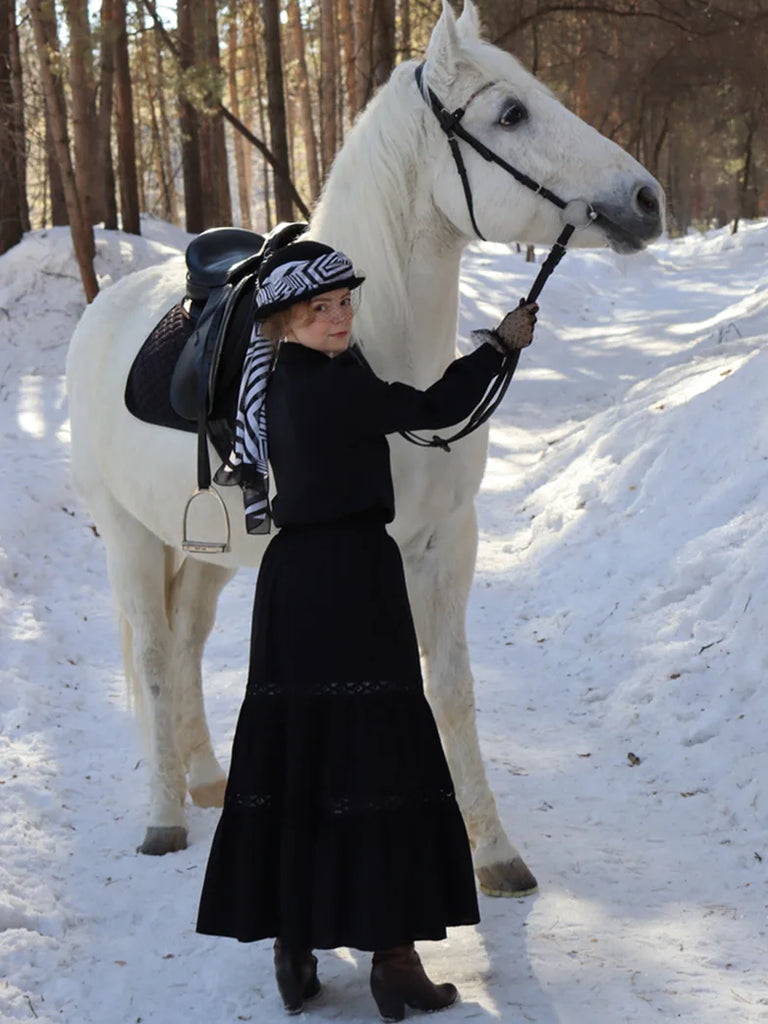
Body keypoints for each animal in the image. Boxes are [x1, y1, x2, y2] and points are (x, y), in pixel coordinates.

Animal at [67, 2, 667, 897]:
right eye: (511, 113)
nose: (647, 198)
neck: (375, 356)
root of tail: (103, 314)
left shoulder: (446, 542)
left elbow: (449, 689)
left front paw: (493, 852)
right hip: (130, 538)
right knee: (151, 656)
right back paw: (164, 817)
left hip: (204, 549)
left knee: (184, 645)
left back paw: (205, 780)